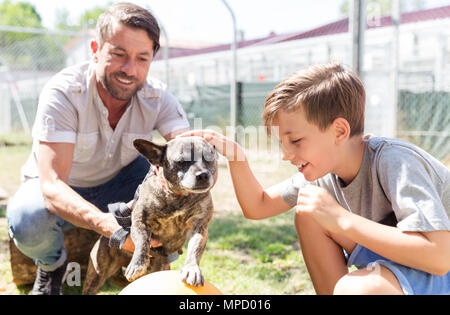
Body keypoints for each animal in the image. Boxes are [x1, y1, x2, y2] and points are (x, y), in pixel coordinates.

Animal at [84, 136, 220, 296]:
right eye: (181, 162)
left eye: (210, 158)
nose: (203, 175)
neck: (177, 196)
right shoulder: (140, 223)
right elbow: (143, 241)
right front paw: (138, 264)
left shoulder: (199, 227)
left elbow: (195, 249)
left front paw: (192, 269)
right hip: (96, 274)